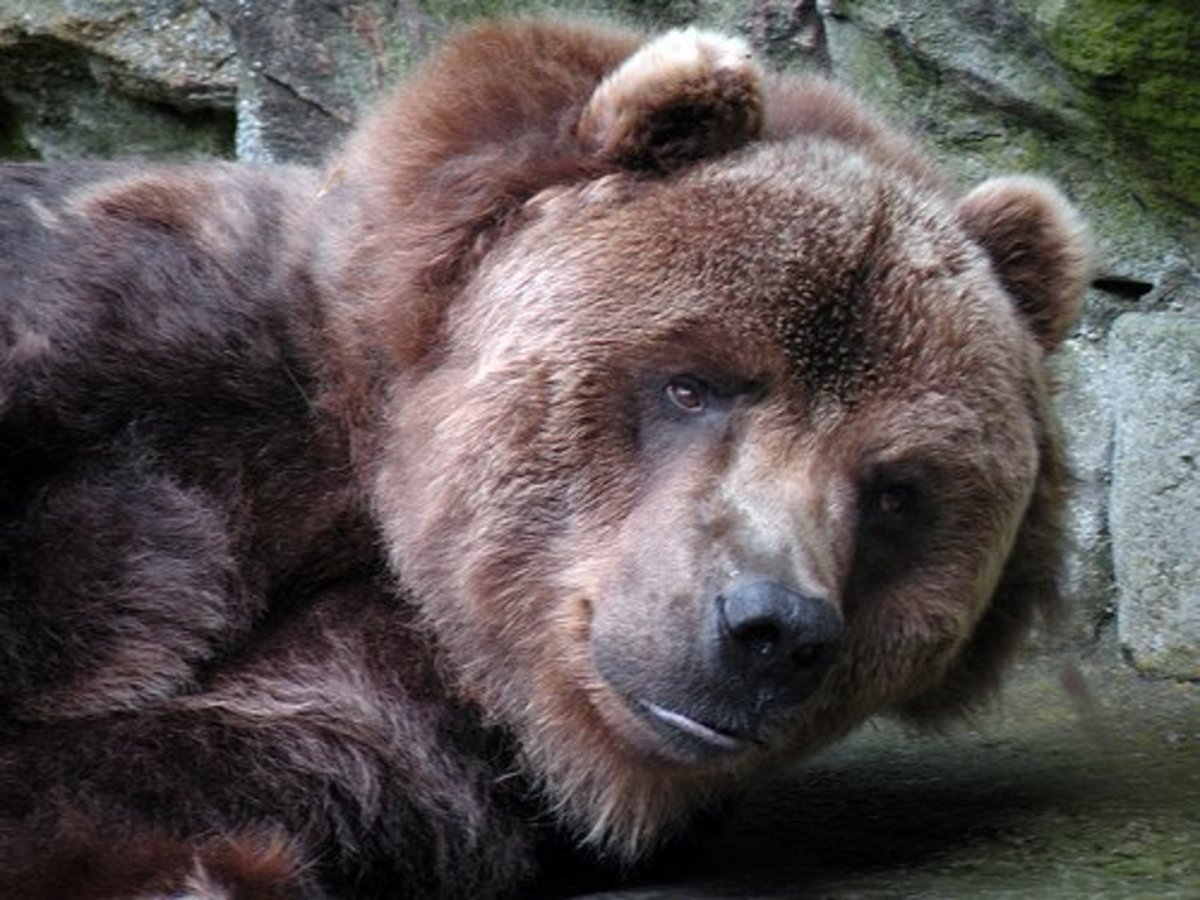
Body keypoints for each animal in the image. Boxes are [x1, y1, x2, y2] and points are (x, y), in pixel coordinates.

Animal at [0, 17, 1090, 899]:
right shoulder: (148, 334)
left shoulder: (432, 706)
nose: (773, 628)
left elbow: (231, 752)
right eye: (691, 384)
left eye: (897, 489)